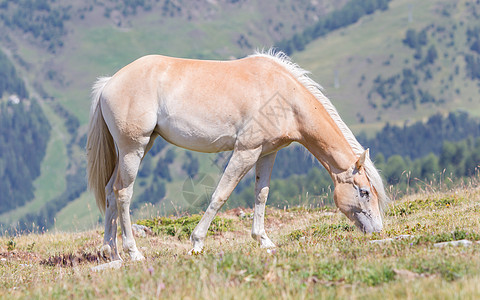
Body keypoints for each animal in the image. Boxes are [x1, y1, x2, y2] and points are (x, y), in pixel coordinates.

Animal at [85, 48, 386, 260]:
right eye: (364, 192)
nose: (378, 231)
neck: (283, 97)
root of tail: (109, 83)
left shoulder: (267, 154)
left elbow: (261, 194)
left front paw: (263, 240)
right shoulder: (245, 152)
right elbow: (221, 194)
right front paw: (197, 243)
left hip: (138, 148)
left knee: (110, 189)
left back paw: (112, 252)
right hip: (133, 149)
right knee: (123, 193)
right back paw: (133, 252)